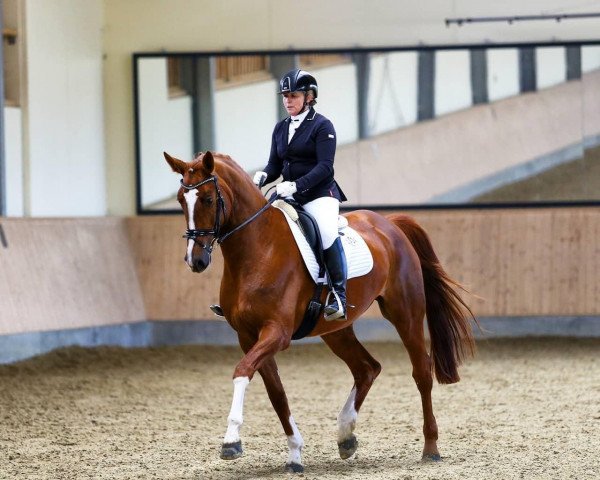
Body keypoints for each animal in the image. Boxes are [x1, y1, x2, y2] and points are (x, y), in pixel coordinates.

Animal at [163, 150, 474, 472]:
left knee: (421, 372)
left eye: (208, 199)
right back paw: (346, 435)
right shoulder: (248, 337)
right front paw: (294, 454)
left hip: (405, 312)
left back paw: (430, 447)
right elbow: (277, 394)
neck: (258, 249)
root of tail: (389, 223)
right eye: (180, 200)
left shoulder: (277, 333)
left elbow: (242, 371)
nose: (195, 260)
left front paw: (231, 441)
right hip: (336, 330)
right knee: (367, 368)